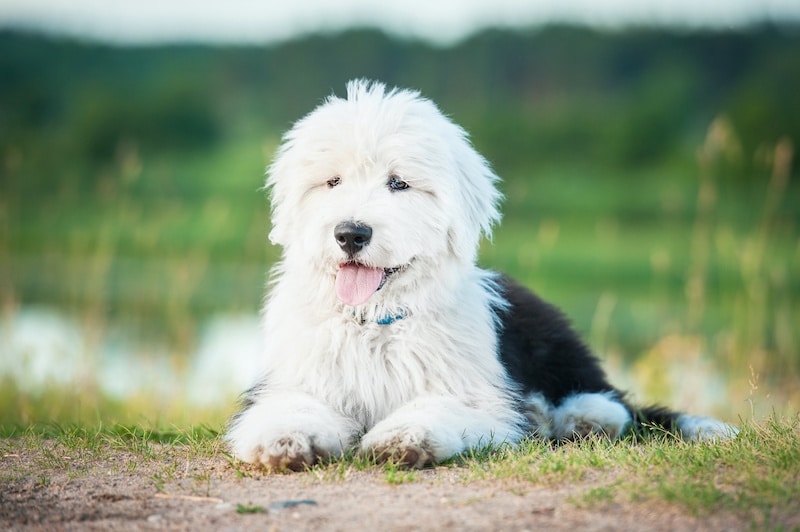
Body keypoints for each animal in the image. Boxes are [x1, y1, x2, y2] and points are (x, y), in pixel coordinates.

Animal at [225, 78, 736, 470]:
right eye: (332, 181)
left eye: (399, 183)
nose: (351, 233)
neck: (376, 323)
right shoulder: (295, 380)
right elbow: (288, 407)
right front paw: (287, 441)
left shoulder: (474, 395)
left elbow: (441, 408)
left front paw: (403, 438)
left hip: (552, 339)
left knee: (611, 401)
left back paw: (576, 418)